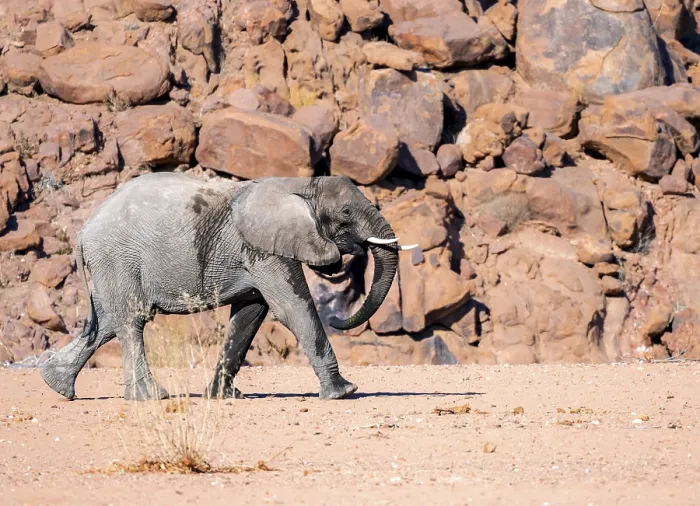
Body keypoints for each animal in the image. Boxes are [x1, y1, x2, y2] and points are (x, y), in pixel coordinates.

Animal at [40, 172, 415, 401]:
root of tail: (84, 230)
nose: (339, 316)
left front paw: (223, 397)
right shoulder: (264, 249)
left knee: (105, 324)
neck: (301, 183)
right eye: (346, 212)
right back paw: (153, 397)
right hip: (118, 258)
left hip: (109, 266)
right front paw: (344, 392)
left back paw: (56, 386)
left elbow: (249, 316)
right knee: (131, 321)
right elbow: (293, 309)